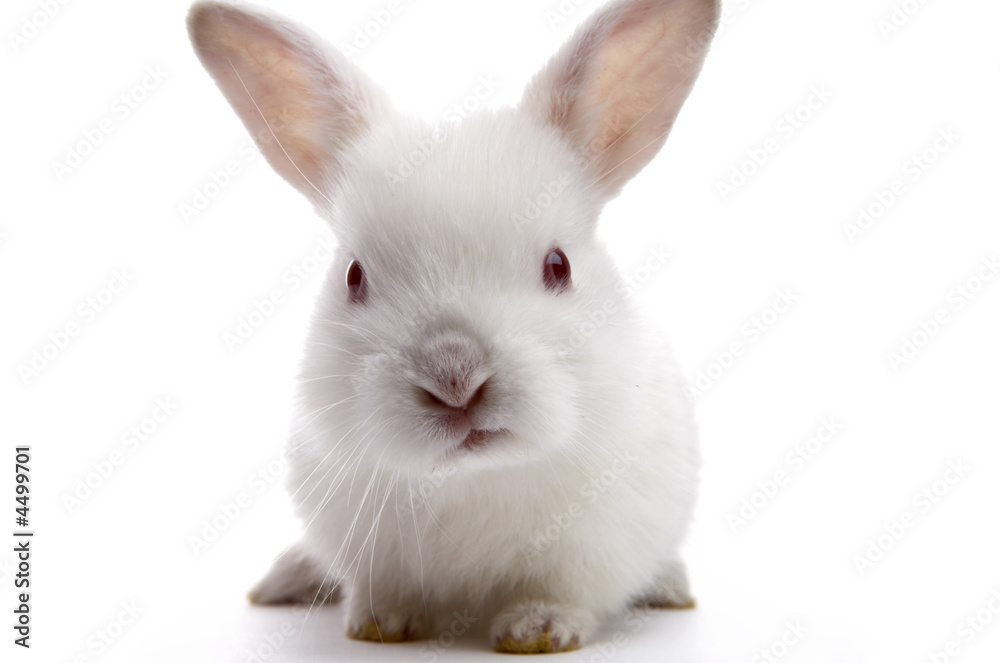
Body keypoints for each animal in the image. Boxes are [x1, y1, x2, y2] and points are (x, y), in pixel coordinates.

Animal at [188, 0, 719, 653]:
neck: (473, 478)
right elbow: (383, 592)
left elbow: (562, 593)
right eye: (354, 277)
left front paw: (537, 629)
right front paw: (381, 624)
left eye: (559, 266)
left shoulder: (591, 550)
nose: (455, 379)